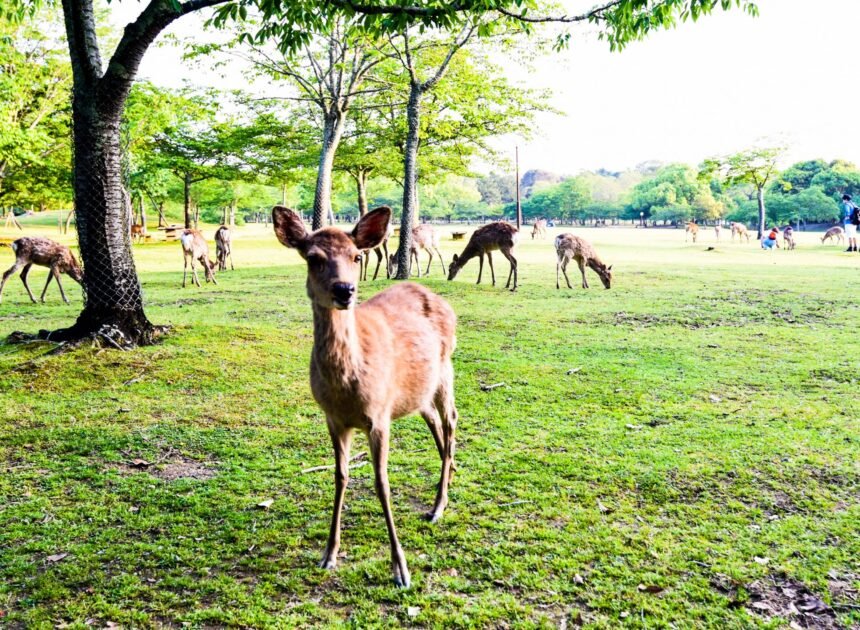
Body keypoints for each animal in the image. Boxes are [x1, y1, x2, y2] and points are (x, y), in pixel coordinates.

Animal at [271, 205, 458, 589]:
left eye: (356, 256)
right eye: (313, 258)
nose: (345, 289)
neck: (347, 388)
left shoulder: (380, 415)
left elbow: (381, 482)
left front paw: (401, 569)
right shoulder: (333, 419)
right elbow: (340, 476)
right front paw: (328, 554)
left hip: (445, 369)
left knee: (451, 421)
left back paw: (438, 505)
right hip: (416, 390)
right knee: (434, 421)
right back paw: (447, 478)